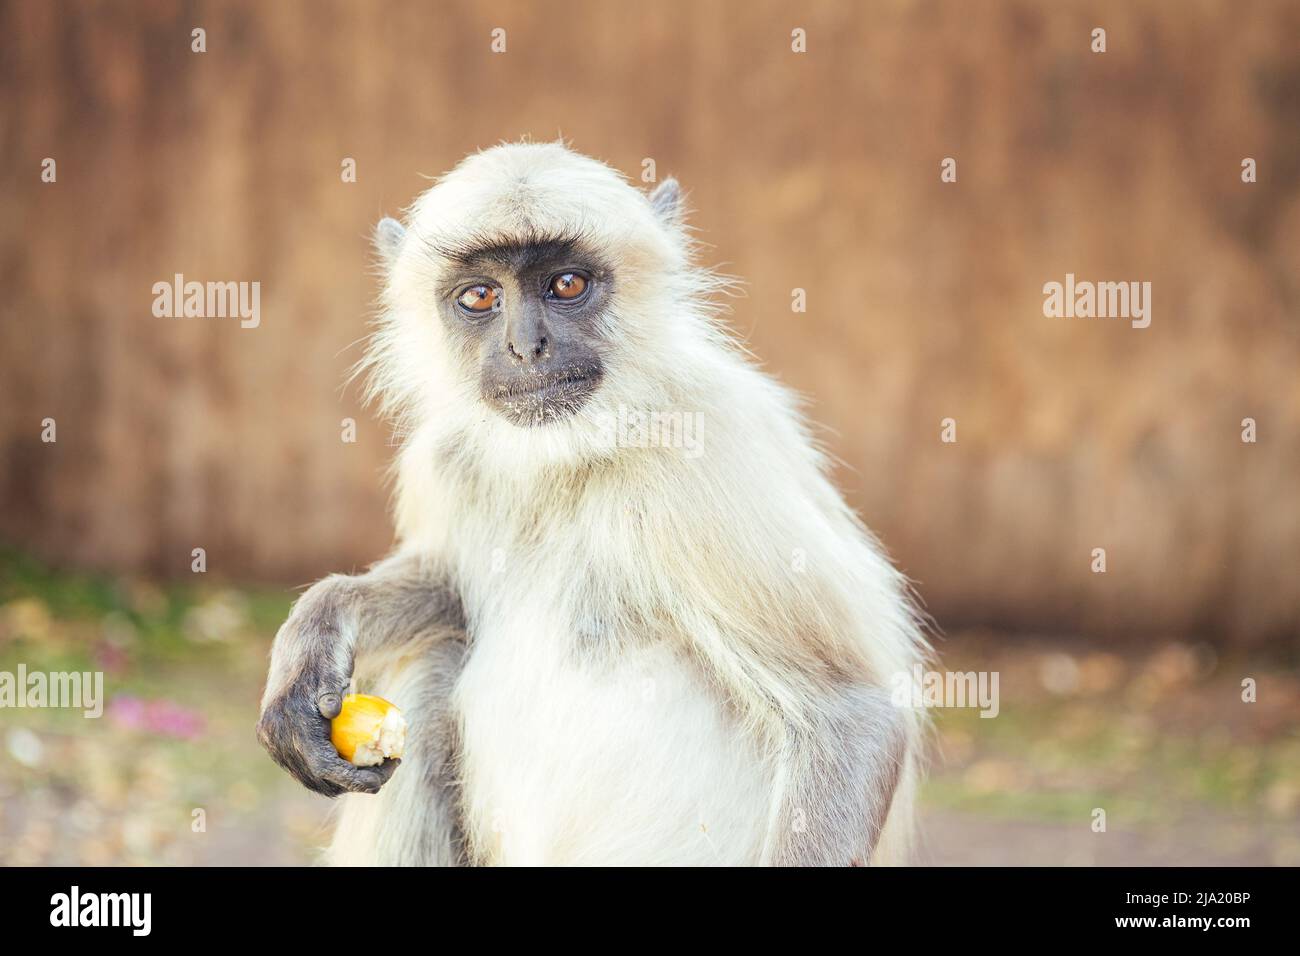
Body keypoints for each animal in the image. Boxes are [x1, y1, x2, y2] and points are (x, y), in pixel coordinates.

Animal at [256, 141, 925, 868]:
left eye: (567, 285)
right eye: (480, 296)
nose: (526, 348)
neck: (572, 454)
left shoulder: (706, 459)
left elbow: (850, 714)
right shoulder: (449, 459)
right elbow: (449, 587)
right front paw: (317, 629)